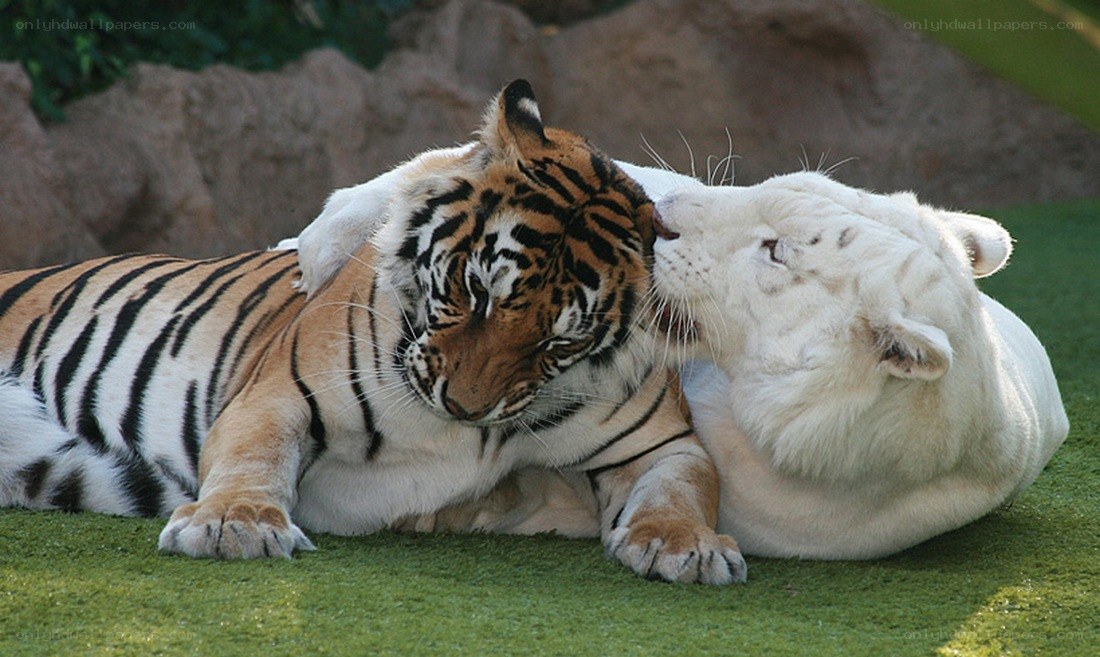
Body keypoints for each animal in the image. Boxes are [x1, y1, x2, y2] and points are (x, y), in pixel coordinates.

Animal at [0, 80, 746, 584]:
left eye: (557, 343)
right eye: (477, 292)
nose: (463, 406)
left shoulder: (663, 442)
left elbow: (682, 489)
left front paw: (687, 544)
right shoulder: (276, 394)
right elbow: (253, 456)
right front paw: (232, 525)